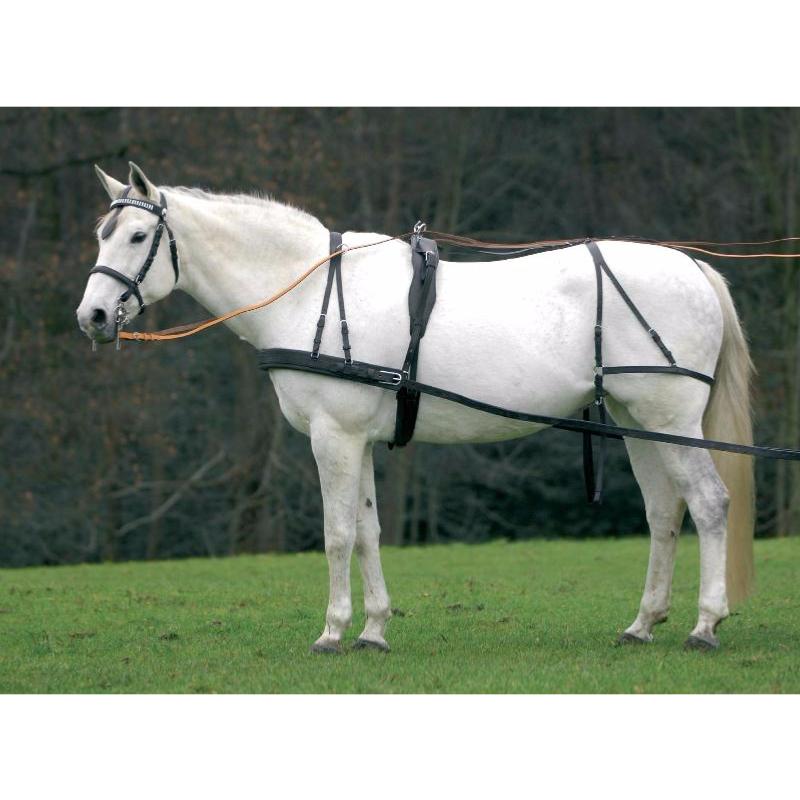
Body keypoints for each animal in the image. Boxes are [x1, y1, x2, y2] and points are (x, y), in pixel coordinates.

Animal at [77, 162, 754, 654]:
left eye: (138, 236)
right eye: (102, 235)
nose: (91, 317)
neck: (310, 293)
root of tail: (693, 267)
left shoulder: (333, 437)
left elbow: (338, 534)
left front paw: (332, 631)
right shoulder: (359, 439)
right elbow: (369, 532)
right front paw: (373, 631)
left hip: (672, 422)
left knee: (710, 504)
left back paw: (704, 625)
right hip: (642, 425)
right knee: (665, 513)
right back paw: (643, 623)